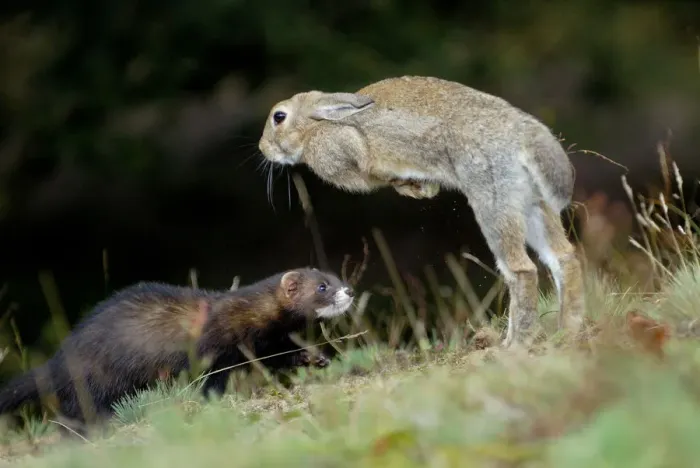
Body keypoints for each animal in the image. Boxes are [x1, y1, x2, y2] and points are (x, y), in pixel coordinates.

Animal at [258, 75, 585, 348]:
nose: (263, 148)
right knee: (563, 257)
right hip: (532, 202)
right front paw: (422, 191)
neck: (314, 126)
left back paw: (514, 344)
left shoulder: (346, 151)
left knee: (521, 270)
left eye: (279, 117)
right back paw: (568, 329)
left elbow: (370, 167)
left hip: (493, 200)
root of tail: (523, 135)